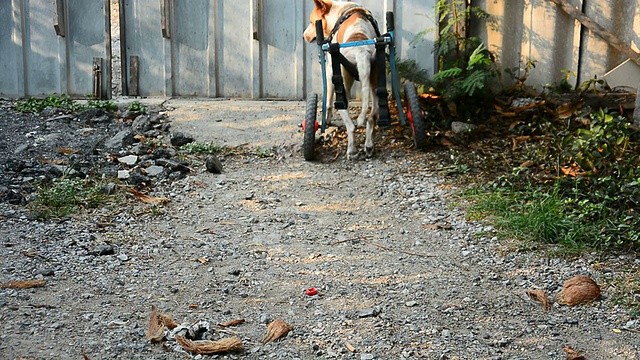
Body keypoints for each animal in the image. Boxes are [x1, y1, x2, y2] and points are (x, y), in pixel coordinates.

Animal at [302, 0, 378, 158]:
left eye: (311, 22)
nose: (303, 36)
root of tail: (361, 51)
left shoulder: (329, 71)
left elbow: (328, 103)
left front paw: (326, 120)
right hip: (375, 85)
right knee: (371, 117)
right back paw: (368, 146)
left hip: (342, 86)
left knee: (351, 125)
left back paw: (351, 150)